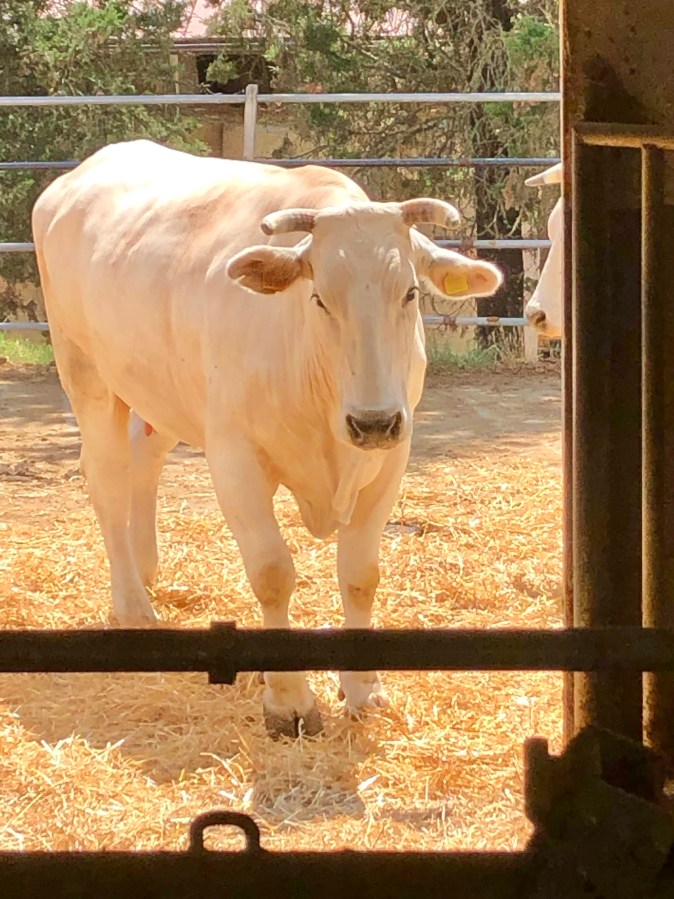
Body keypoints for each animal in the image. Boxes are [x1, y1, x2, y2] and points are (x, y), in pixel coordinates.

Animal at [32, 139, 503, 737]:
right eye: (319, 297)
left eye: (411, 293)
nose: (372, 421)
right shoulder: (234, 456)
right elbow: (273, 573)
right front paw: (288, 701)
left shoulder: (392, 455)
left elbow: (360, 574)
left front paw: (364, 690)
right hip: (86, 373)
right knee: (109, 480)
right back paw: (134, 607)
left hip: (160, 389)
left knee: (146, 456)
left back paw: (145, 568)